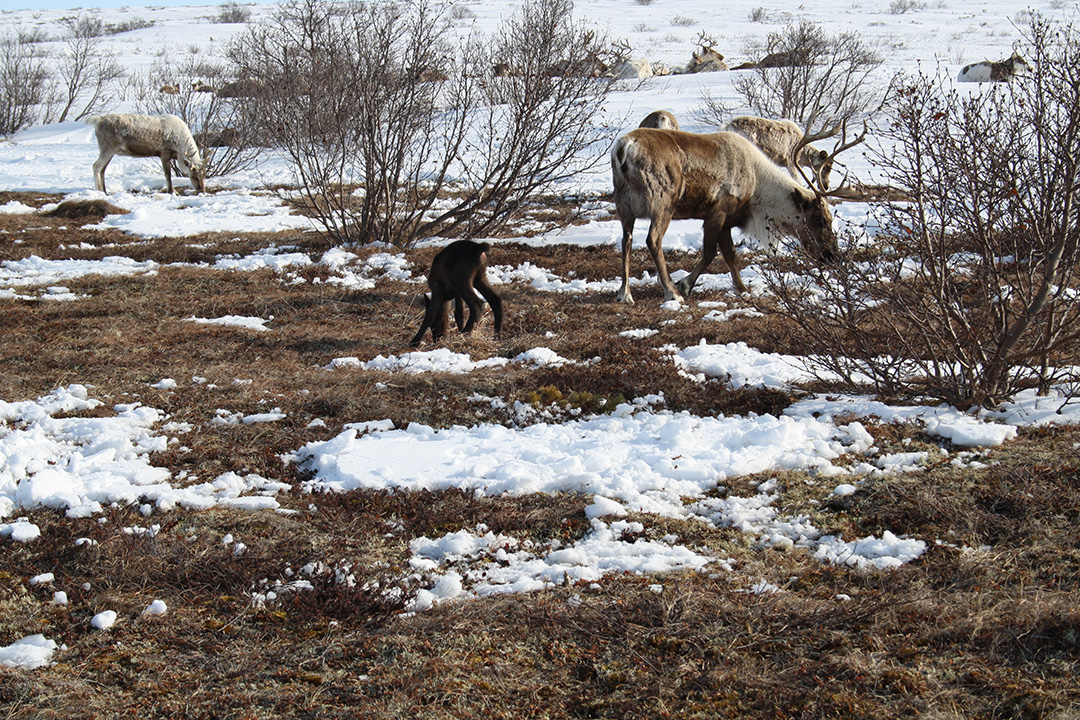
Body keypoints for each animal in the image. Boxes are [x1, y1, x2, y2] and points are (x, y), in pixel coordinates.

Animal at [610, 128, 838, 303]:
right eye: (819, 218)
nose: (830, 255)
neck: (757, 189)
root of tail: (623, 147)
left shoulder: (727, 221)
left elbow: (730, 254)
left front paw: (742, 289)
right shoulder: (718, 212)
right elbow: (710, 252)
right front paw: (684, 284)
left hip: (624, 205)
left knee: (626, 240)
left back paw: (625, 293)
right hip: (664, 202)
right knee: (653, 240)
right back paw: (671, 292)